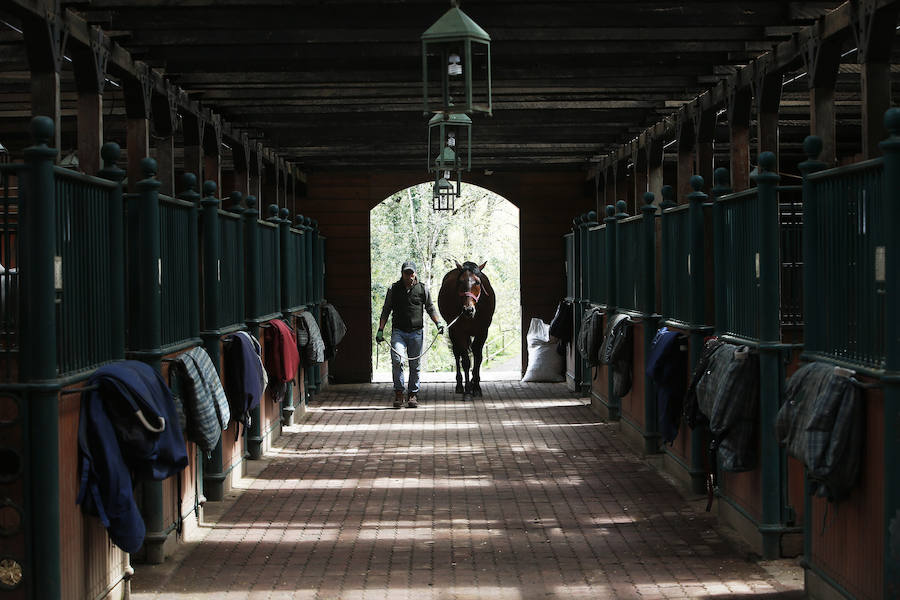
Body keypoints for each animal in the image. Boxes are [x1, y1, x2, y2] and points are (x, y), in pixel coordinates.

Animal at [438, 260, 496, 400]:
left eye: (478, 282)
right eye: (460, 282)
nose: (468, 310)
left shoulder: (482, 331)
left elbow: (478, 358)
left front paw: (477, 387)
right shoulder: (459, 332)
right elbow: (465, 361)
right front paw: (468, 390)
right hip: (452, 332)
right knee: (457, 353)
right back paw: (460, 385)